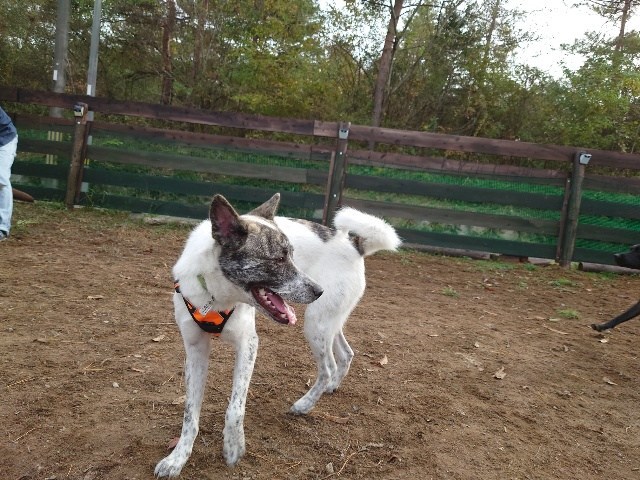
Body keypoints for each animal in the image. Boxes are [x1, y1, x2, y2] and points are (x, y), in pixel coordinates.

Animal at [154, 192, 400, 476]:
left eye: (292, 255)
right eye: (279, 259)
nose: (319, 290)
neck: (217, 297)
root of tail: (355, 244)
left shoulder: (248, 344)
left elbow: (235, 409)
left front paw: (234, 447)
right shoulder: (195, 349)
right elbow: (190, 413)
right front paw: (177, 458)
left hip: (315, 324)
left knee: (327, 368)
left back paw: (305, 404)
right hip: (329, 321)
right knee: (346, 354)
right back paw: (331, 387)